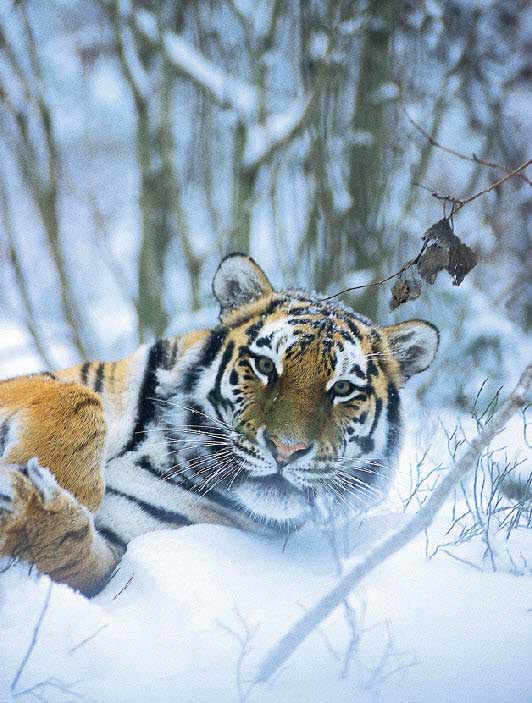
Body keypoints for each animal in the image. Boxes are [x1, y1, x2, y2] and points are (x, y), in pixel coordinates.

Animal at [0, 254, 439, 596]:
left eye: (343, 388)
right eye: (265, 365)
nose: (286, 449)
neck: (168, 451)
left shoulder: (120, 548)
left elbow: (69, 553)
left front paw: (31, 500)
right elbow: (79, 399)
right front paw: (64, 480)